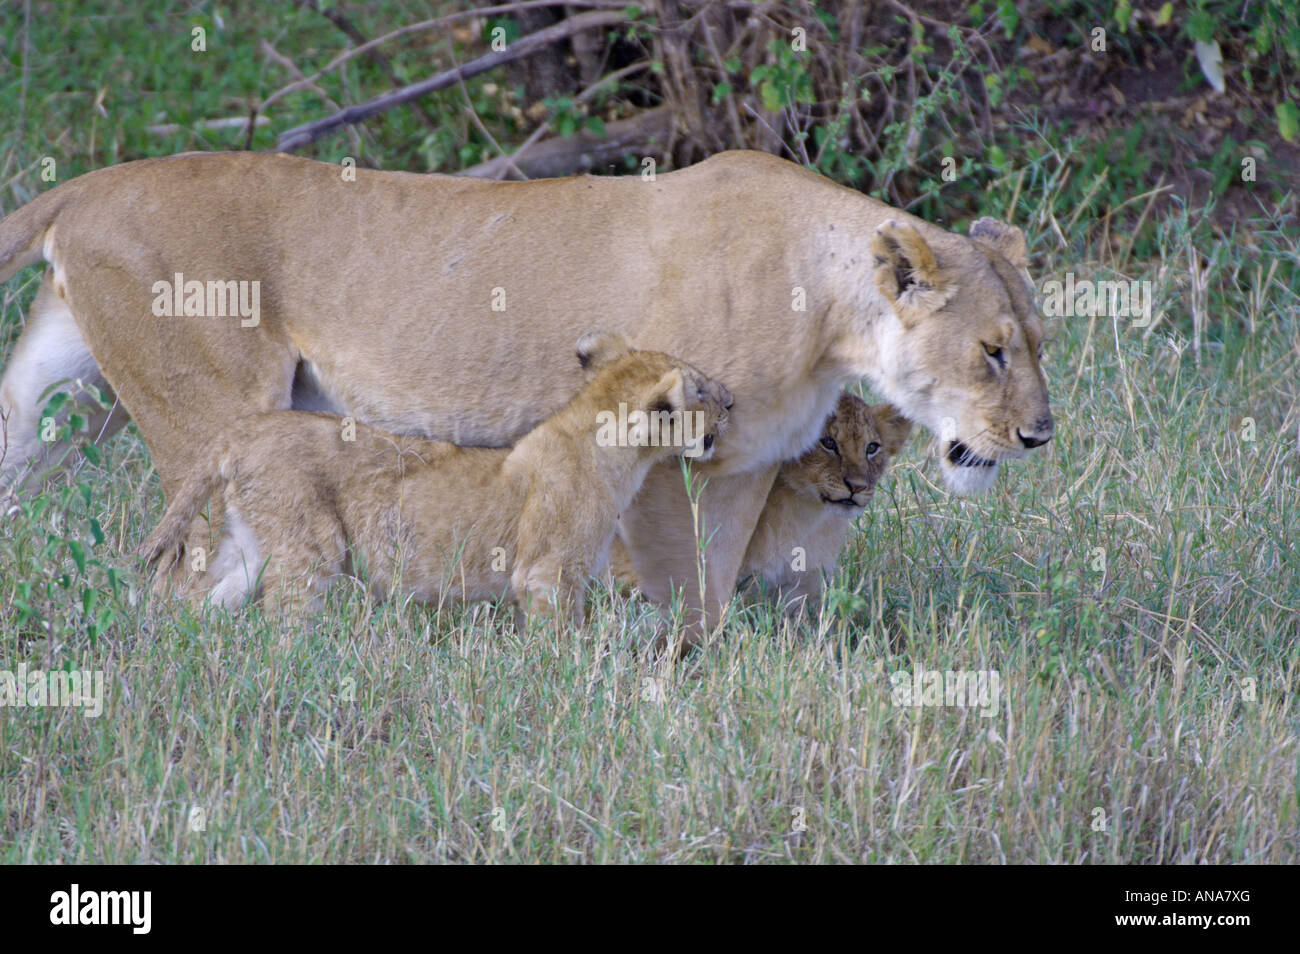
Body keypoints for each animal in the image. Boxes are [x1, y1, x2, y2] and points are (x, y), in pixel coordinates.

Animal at [138, 334, 731, 627]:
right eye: (701, 391)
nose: (732, 402)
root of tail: (242, 431)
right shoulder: (547, 573)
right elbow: (561, 638)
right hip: (312, 544)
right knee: (285, 615)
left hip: (250, 543)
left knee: (207, 601)